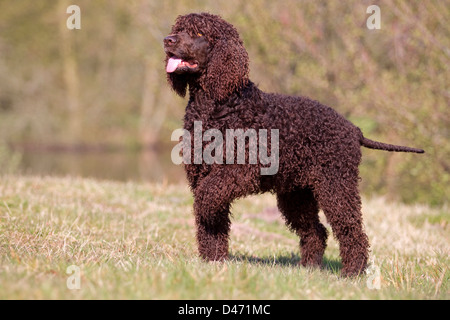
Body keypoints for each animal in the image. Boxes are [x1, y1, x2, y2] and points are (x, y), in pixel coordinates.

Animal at [163, 12, 424, 276]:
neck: (217, 104)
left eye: (199, 33)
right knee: (316, 230)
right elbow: (211, 225)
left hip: (336, 184)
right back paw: (309, 268)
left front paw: (205, 225)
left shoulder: (238, 171)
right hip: (297, 193)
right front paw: (213, 261)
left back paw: (353, 272)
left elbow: (207, 198)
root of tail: (353, 129)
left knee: (352, 230)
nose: (167, 39)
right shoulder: (201, 173)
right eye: (179, 28)